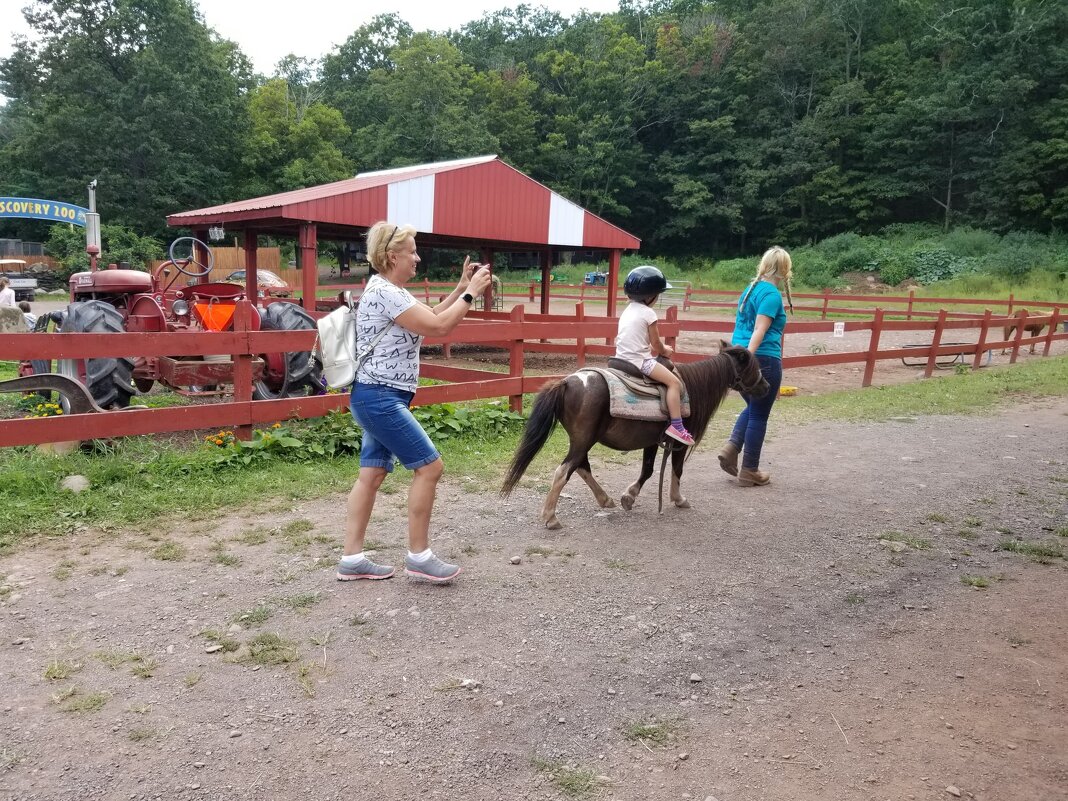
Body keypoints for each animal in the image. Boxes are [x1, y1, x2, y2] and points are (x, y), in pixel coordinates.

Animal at [499, 341, 768, 529]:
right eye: (754, 366)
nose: (766, 387)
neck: (691, 389)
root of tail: (566, 382)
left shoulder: (652, 441)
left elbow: (647, 470)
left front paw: (628, 497)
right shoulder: (679, 444)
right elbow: (676, 470)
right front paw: (678, 499)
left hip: (581, 440)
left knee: (581, 466)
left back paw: (605, 500)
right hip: (583, 440)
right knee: (564, 470)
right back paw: (550, 517)